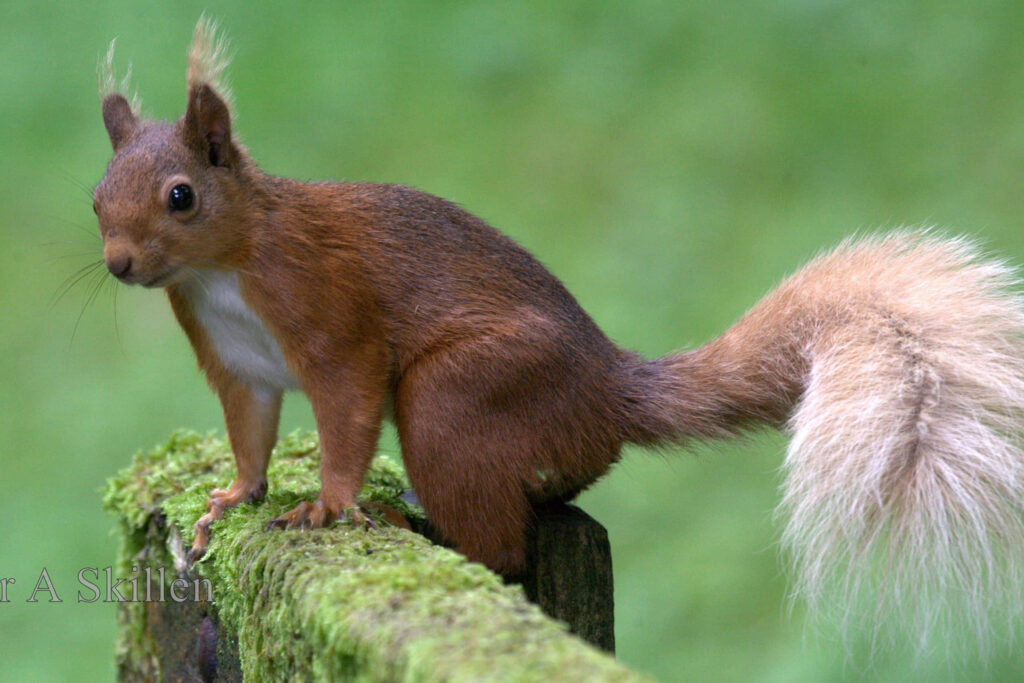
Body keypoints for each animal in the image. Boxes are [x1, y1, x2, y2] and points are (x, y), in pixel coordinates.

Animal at [94, 18, 1024, 649]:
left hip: (457, 396)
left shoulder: (329, 313)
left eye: (181, 195)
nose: (119, 264)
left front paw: (324, 506)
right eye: (98, 195)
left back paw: (414, 525)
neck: (223, 271)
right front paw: (231, 499)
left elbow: (347, 407)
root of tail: (608, 393)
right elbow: (250, 433)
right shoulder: (236, 363)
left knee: (500, 549)